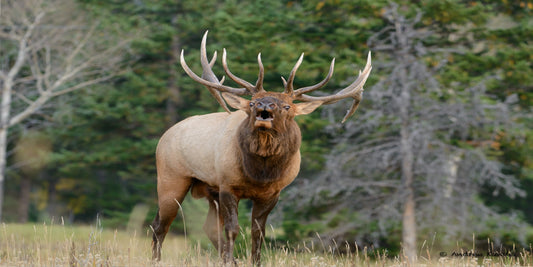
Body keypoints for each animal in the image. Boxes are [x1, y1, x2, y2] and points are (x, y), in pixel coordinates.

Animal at [152, 31, 372, 266]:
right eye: (252, 102)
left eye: (287, 106)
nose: (264, 105)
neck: (260, 174)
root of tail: (165, 135)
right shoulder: (228, 185)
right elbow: (232, 229)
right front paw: (230, 260)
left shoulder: (272, 193)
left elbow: (258, 233)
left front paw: (252, 261)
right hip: (172, 177)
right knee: (161, 224)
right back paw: (157, 259)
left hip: (209, 190)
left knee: (208, 227)